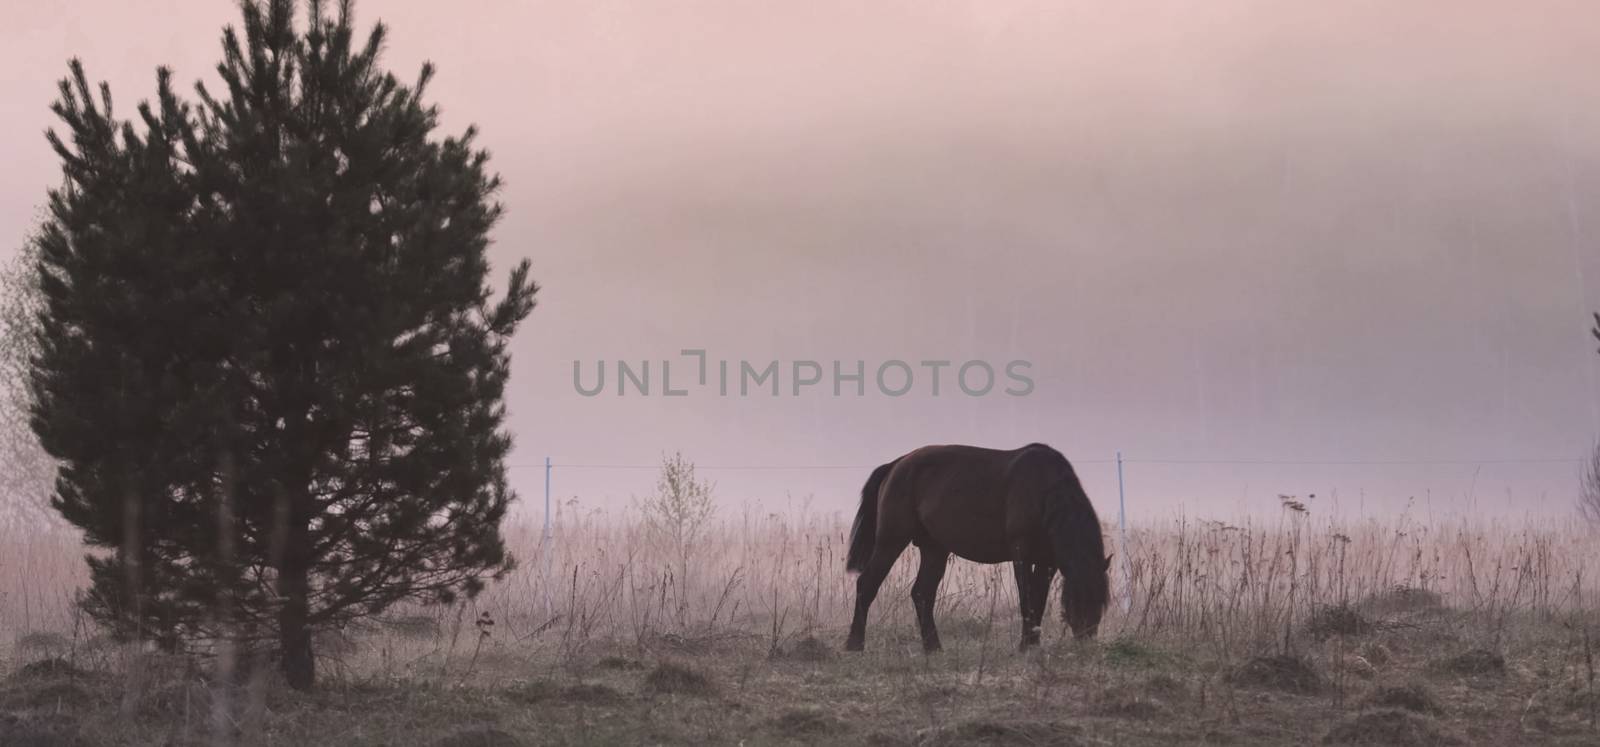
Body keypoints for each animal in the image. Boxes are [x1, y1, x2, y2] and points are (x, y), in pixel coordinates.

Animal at [844, 444, 1107, 655]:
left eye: (1101, 601)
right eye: (1077, 598)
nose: (1087, 639)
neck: (1042, 488)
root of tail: (896, 464)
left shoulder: (1047, 561)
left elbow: (1039, 599)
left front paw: (1033, 642)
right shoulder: (1021, 554)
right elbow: (1026, 598)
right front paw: (1024, 645)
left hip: (934, 549)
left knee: (922, 593)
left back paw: (934, 648)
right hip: (891, 541)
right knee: (867, 584)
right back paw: (854, 645)